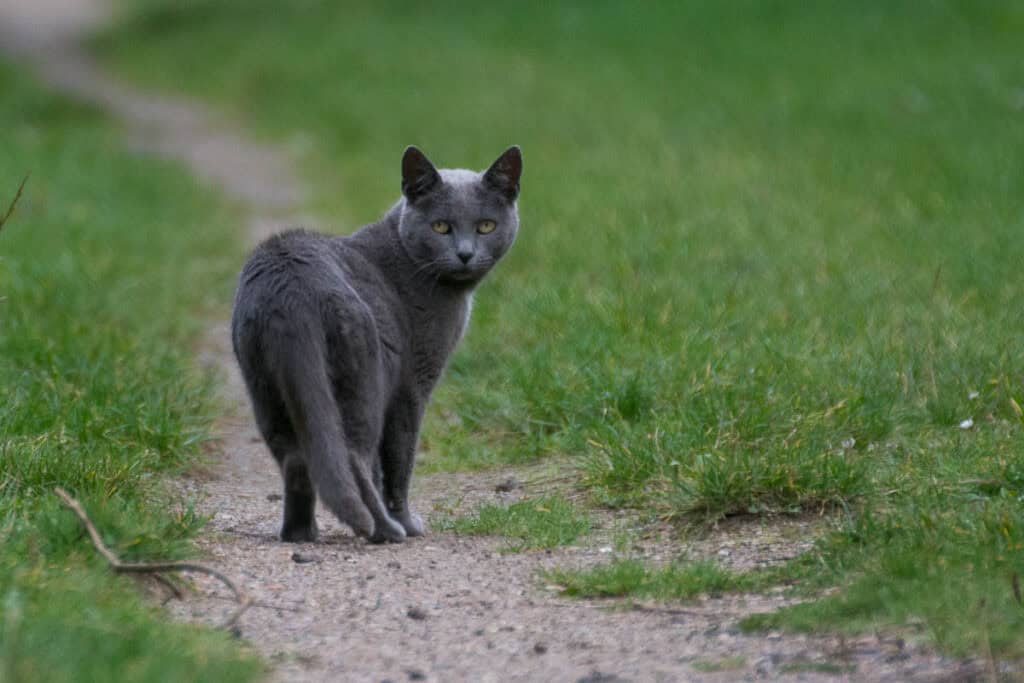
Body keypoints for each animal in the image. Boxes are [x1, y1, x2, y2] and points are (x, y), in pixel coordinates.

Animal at [231, 146, 522, 543]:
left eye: (486, 226)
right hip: (363, 377)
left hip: (265, 384)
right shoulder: (413, 385)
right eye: (441, 226)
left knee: (295, 458)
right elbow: (399, 461)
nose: (465, 254)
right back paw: (386, 529)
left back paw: (300, 533)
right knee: (355, 456)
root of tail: (290, 289)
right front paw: (410, 522)